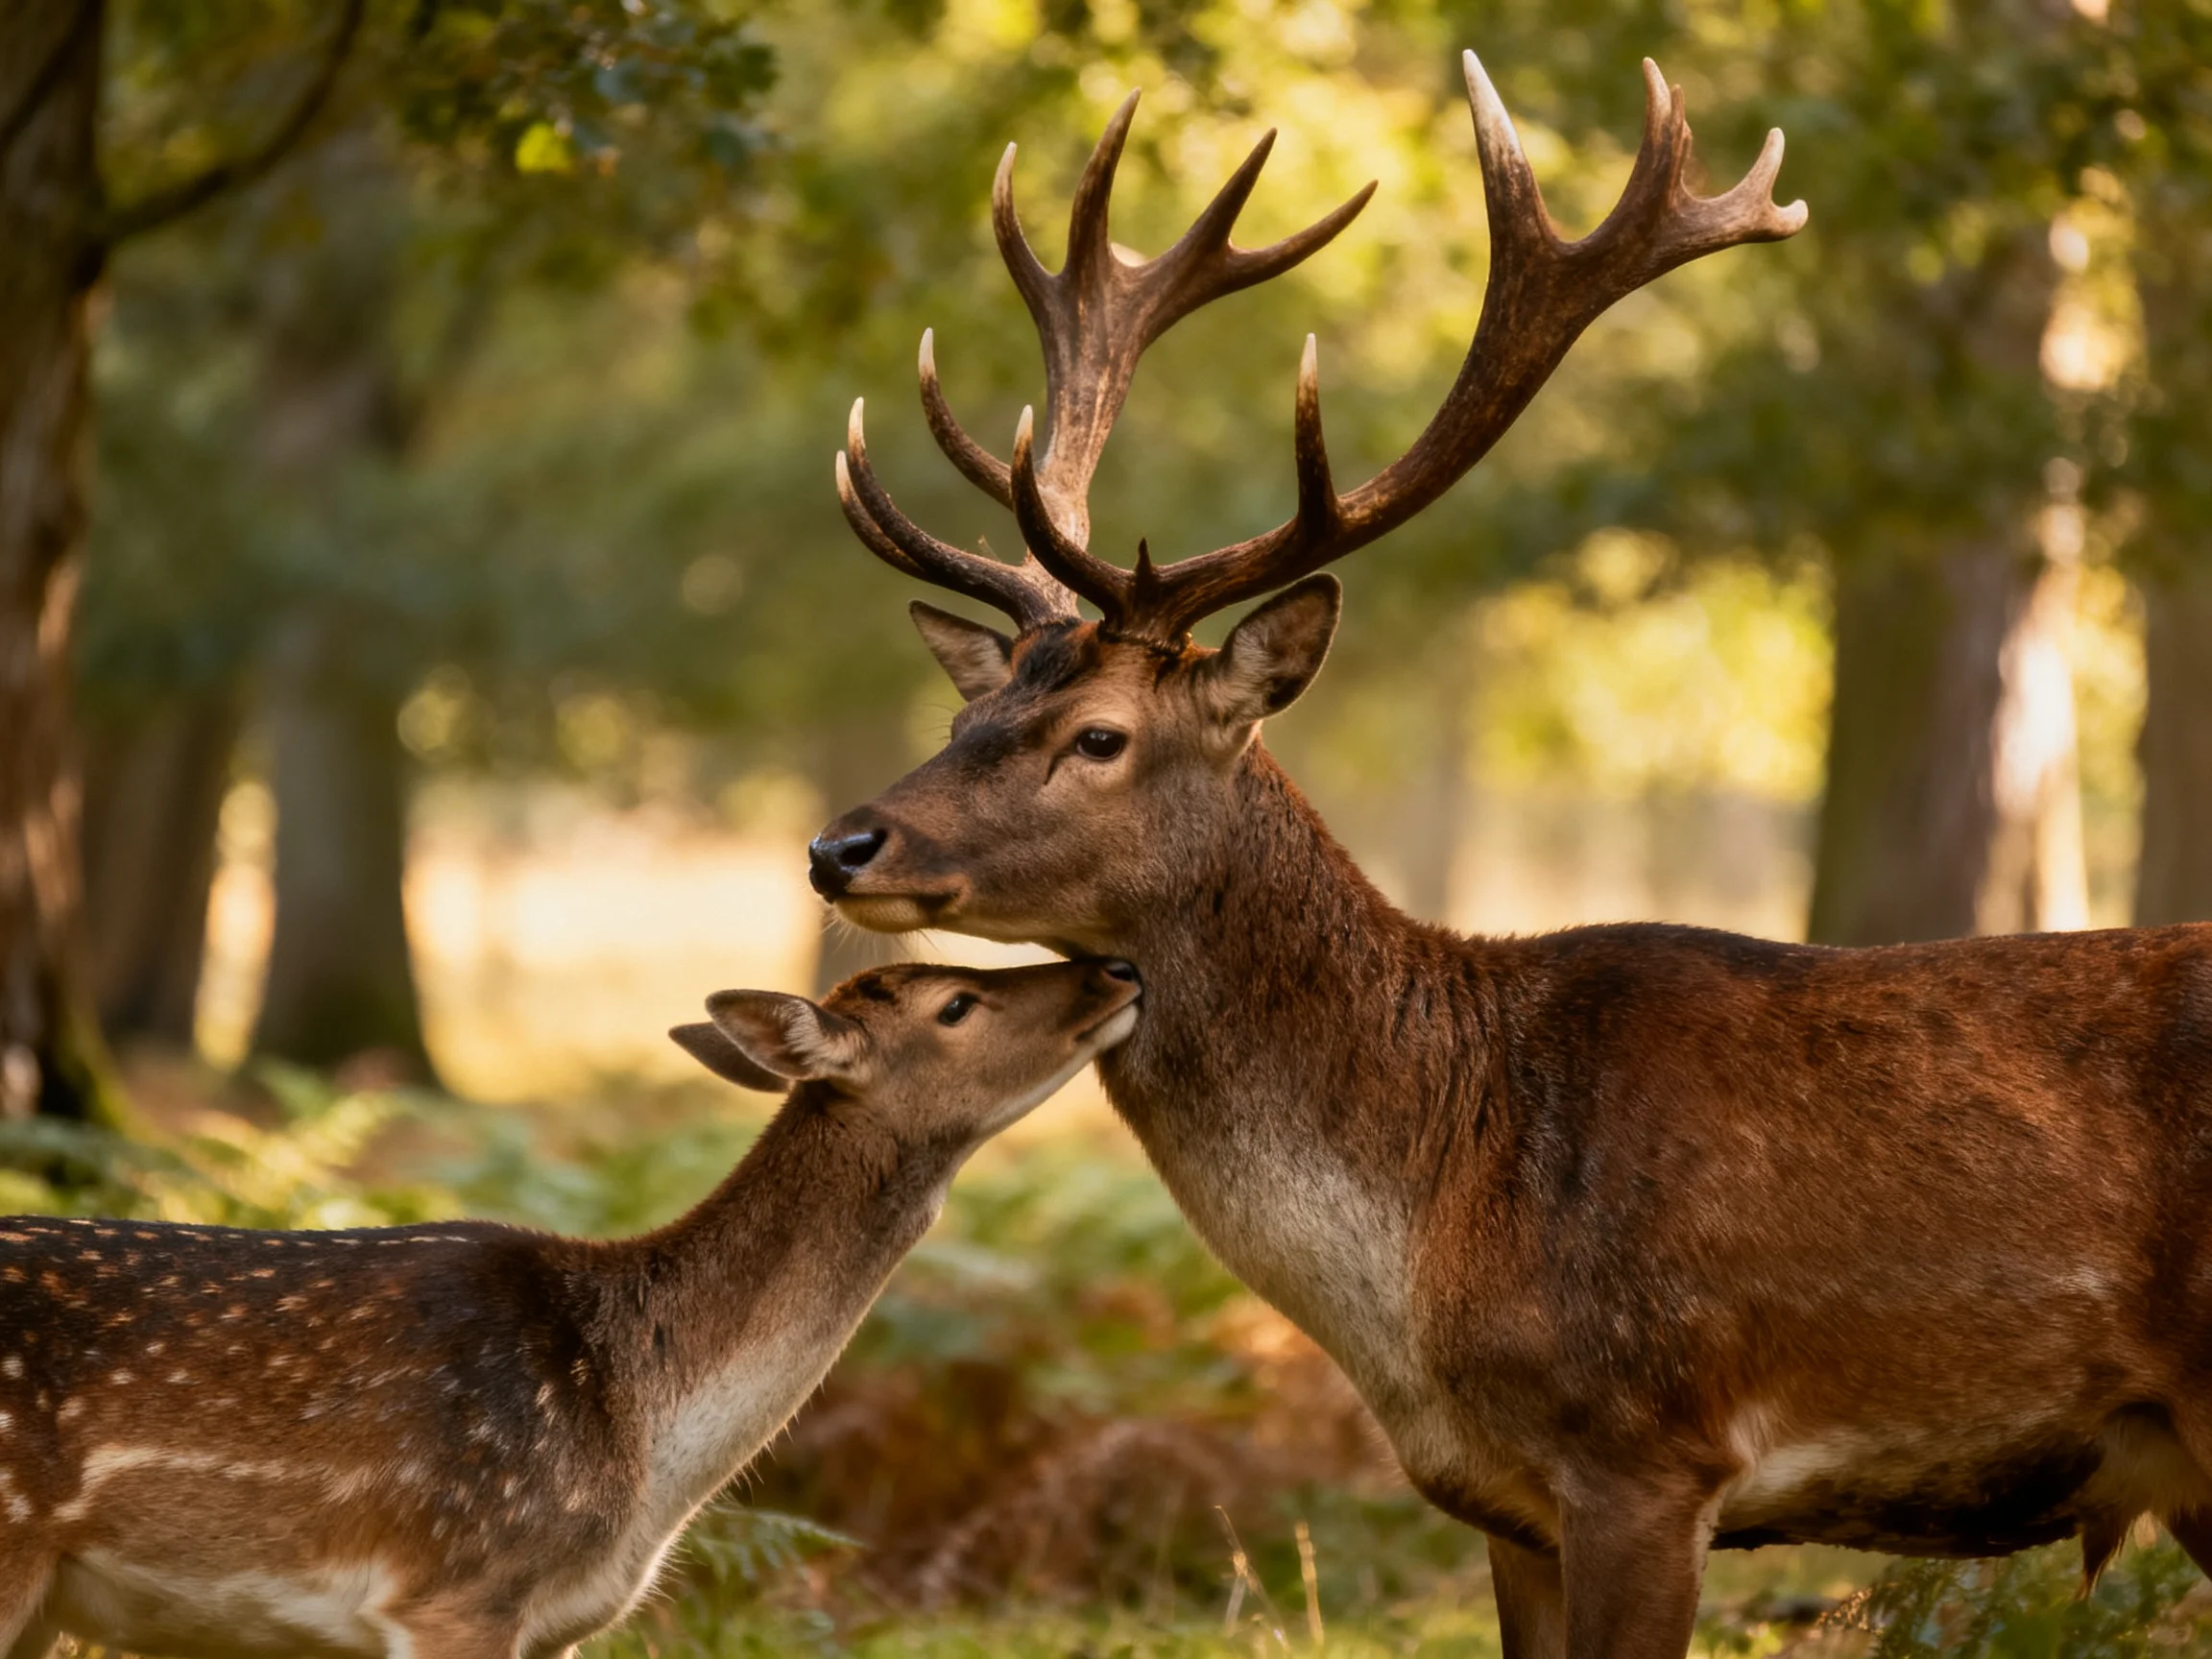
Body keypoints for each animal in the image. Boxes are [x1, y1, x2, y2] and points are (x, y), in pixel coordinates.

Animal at [809, 48, 2212, 1659]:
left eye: (1098, 735)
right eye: (968, 707)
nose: (840, 843)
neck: (1433, 1254)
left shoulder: (1650, 1453)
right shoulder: (1506, 1507)